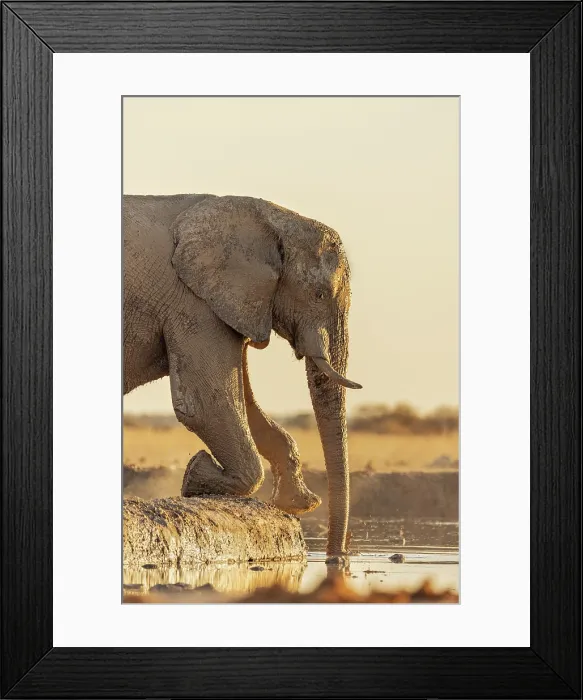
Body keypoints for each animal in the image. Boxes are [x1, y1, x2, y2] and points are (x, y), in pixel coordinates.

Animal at [123, 193, 362, 562]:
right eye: (320, 294)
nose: (336, 560)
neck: (271, 218)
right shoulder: (194, 304)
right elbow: (207, 405)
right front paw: (196, 476)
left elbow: (245, 403)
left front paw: (296, 503)